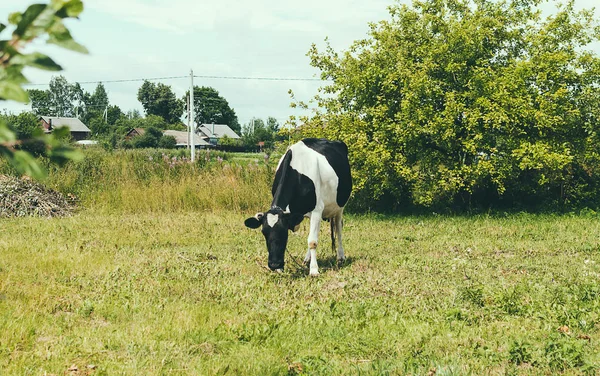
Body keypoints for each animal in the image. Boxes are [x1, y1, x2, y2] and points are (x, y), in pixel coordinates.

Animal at [244, 138, 352, 276]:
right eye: (264, 232)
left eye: (284, 232)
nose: (274, 264)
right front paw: (281, 269)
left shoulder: (317, 210)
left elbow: (312, 241)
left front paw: (314, 270)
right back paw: (307, 259)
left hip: (340, 207)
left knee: (338, 228)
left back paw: (340, 257)